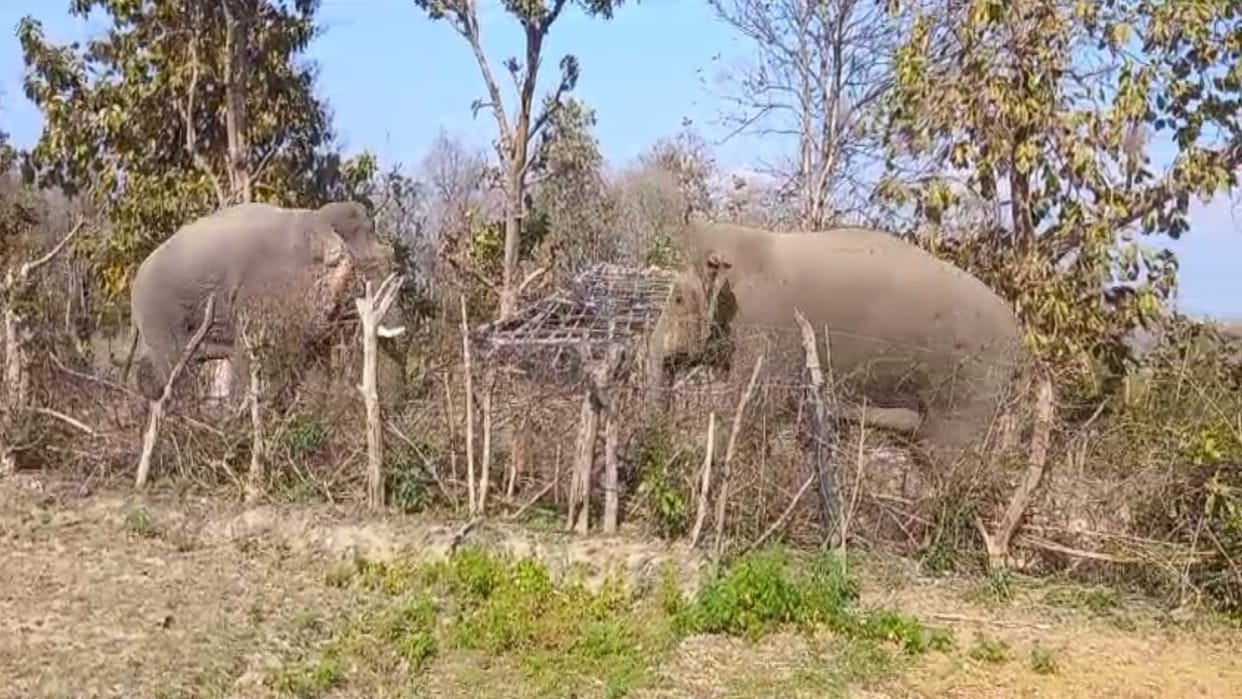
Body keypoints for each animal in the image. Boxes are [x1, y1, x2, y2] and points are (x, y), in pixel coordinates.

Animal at [126, 200, 407, 402]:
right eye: (366, 270)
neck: (317, 218)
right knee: (173, 367)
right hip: (159, 314)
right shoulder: (268, 291)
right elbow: (250, 352)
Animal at [645, 220, 1033, 468]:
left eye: (677, 299)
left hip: (972, 383)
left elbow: (755, 406)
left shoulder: (767, 329)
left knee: (945, 454)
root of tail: (1019, 332)